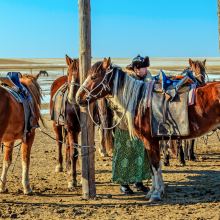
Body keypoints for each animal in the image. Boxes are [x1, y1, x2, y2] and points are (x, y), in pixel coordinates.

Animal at [50, 55, 113, 190]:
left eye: (81, 74)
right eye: (68, 72)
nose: (72, 97)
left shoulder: (86, 128)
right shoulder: (71, 129)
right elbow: (74, 152)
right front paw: (73, 181)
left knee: (67, 145)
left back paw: (68, 166)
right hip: (57, 125)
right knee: (59, 142)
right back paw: (60, 165)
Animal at [75, 57, 220, 202]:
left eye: (94, 77)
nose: (78, 98)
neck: (139, 101)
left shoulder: (150, 141)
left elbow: (155, 165)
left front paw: (156, 194)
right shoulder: (151, 142)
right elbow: (153, 166)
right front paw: (154, 191)